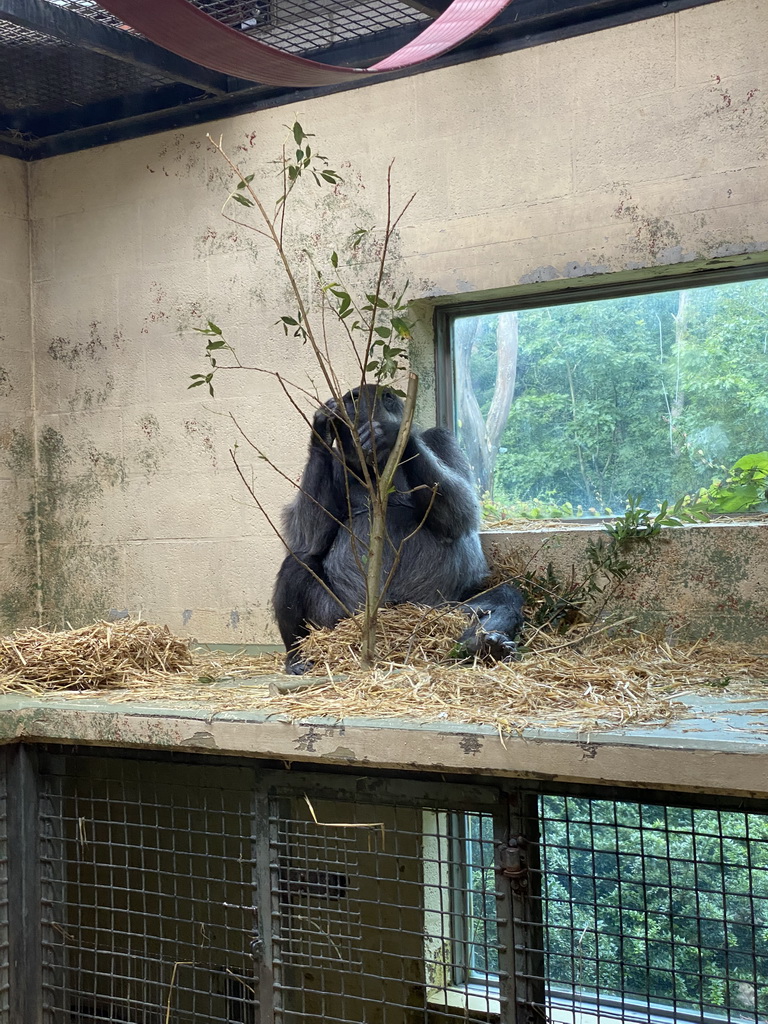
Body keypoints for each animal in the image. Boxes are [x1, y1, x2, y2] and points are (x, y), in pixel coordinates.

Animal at [270, 385, 524, 671]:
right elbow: (306, 536)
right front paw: (321, 431)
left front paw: (396, 435)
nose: (343, 406)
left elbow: (461, 511)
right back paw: (297, 655)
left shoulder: (441, 438)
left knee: (504, 597)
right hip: (341, 620)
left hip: (435, 613)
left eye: (353, 398)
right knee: (298, 563)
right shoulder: (337, 462)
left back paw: (477, 645)